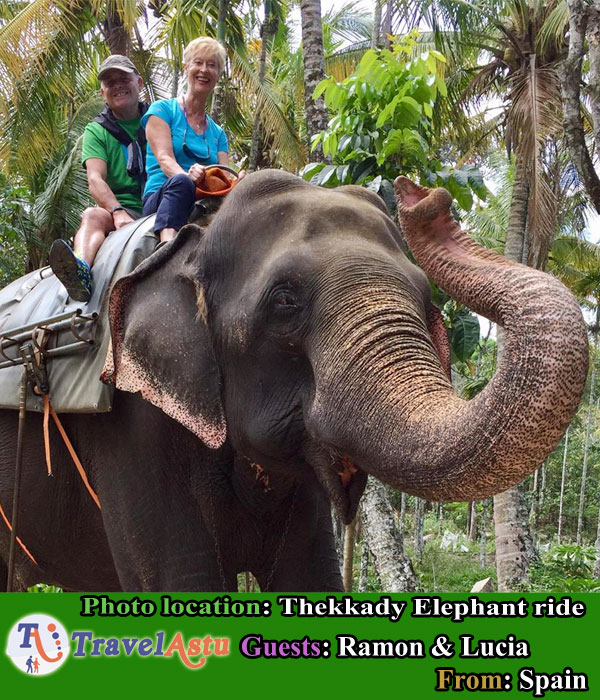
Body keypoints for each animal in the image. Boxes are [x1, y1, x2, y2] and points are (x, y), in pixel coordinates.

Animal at [0, 170, 584, 592]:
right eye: (284, 301)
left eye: (425, 299)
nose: (420, 195)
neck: (192, 242)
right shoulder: (131, 421)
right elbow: (181, 582)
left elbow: (310, 577)